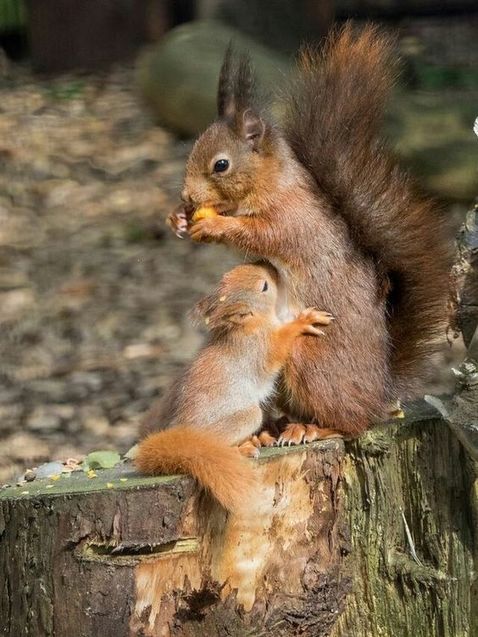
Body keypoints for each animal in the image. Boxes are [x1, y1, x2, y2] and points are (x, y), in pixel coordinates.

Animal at [135, 262, 332, 512]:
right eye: (264, 287)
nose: (269, 265)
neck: (250, 325)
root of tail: (183, 432)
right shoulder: (258, 348)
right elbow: (278, 348)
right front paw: (303, 320)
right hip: (244, 417)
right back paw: (243, 447)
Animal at [169, 24, 452, 442]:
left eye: (221, 165)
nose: (188, 197)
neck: (273, 183)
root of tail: (379, 394)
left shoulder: (292, 219)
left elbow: (261, 236)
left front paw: (215, 224)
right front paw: (178, 219)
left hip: (310, 361)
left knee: (350, 422)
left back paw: (314, 428)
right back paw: (274, 428)